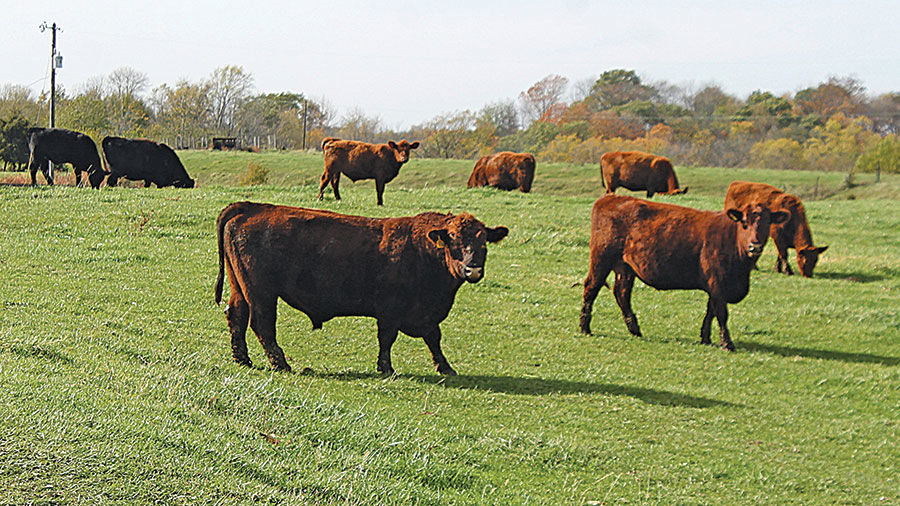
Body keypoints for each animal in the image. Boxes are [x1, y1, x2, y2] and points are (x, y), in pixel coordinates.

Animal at [214, 201, 508, 374]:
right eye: (454, 241)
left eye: (483, 243)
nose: (473, 269)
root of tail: (251, 207)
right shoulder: (390, 308)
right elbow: (387, 338)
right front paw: (386, 368)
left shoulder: (425, 314)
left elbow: (433, 337)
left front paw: (445, 367)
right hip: (261, 292)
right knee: (262, 324)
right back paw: (281, 364)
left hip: (240, 287)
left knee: (236, 315)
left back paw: (242, 359)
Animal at [579, 194, 788, 350]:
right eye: (744, 222)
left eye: (767, 223)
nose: (755, 246)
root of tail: (611, 198)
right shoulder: (717, 283)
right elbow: (722, 314)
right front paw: (727, 343)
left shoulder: (714, 286)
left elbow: (710, 311)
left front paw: (705, 338)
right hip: (601, 258)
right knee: (591, 287)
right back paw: (585, 327)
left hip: (625, 267)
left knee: (621, 292)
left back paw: (635, 329)